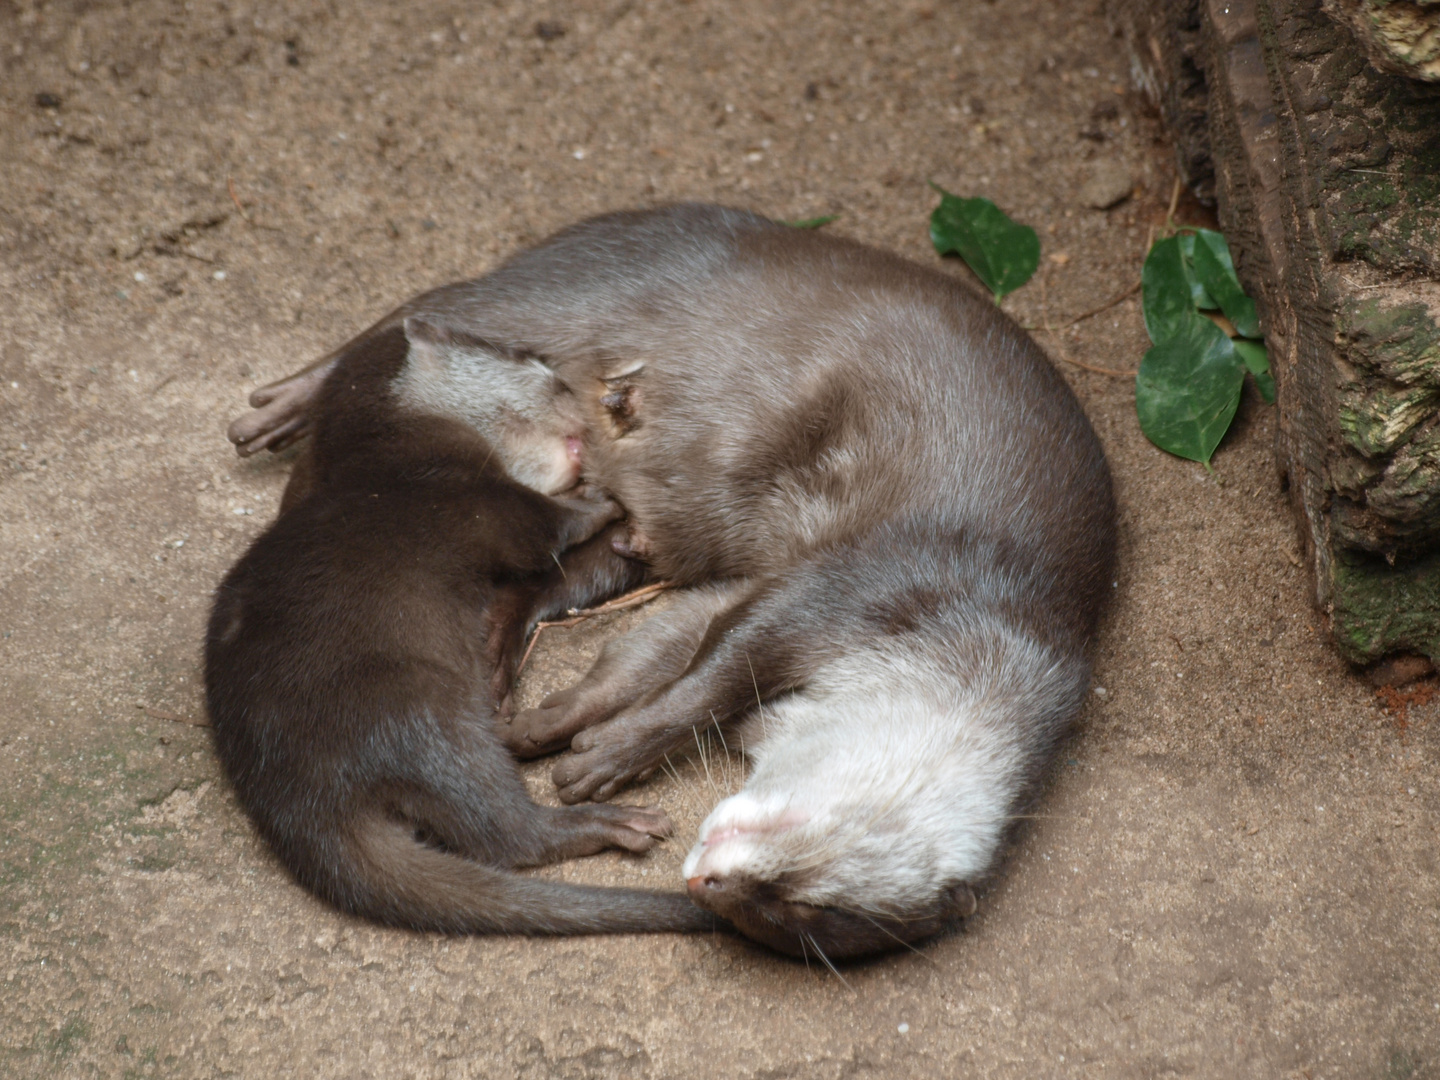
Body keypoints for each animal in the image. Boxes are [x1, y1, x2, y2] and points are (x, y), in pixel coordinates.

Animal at [204, 316, 714, 933]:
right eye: (536, 362)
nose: (580, 395)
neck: (390, 449)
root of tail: (304, 798)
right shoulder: (476, 495)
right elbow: (545, 528)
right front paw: (600, 497)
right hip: (422, 709)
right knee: (507, 833)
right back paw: (614, 822)